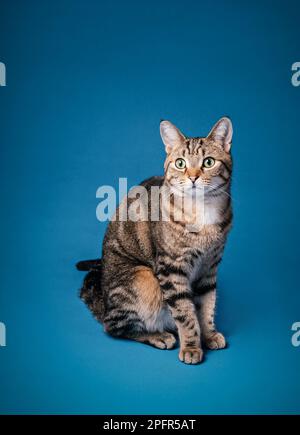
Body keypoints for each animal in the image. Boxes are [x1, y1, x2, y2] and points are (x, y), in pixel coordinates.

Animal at [77, 116, 232, 364]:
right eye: (180, 163)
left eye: (208, 162)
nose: (193, 177)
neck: (203, 213)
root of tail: (104, 303)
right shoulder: (171, 268)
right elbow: (185, 312)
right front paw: (191, 346)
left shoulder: (210, 266)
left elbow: (206, 304)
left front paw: (208, 334)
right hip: (144, 277)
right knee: (113, 326)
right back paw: (157, 335)